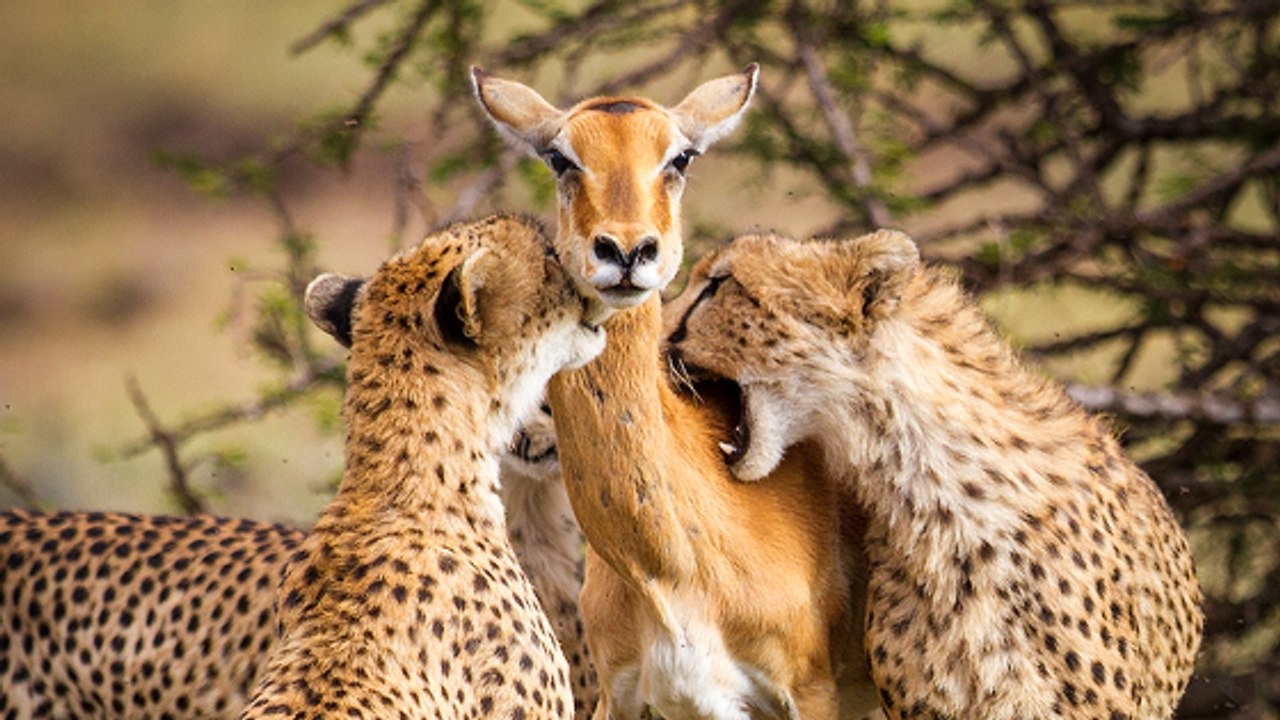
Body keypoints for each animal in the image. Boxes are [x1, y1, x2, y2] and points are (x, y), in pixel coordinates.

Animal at [475, 67, 877, 719]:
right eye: (560, 157)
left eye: (680, 156)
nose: (626, 251)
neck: (667, 570)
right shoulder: (622, 695)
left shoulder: (809, 692)